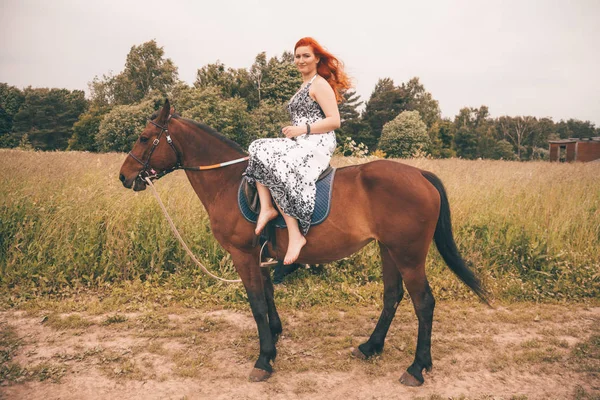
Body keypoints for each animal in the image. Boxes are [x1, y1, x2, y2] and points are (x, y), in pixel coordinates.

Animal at [118, 98, 488, 386]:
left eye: (145, 137)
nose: (124, 176)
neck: (229, 182)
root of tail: (419, 174)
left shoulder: (243, 255)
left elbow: (255, 302)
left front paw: (264, 359)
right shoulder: (260, 256)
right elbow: (267, 296)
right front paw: (275, 337)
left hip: (409, 255)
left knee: (424, 303)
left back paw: (416, 367)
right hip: (389, 250)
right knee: (392, 297)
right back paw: (370, 347)